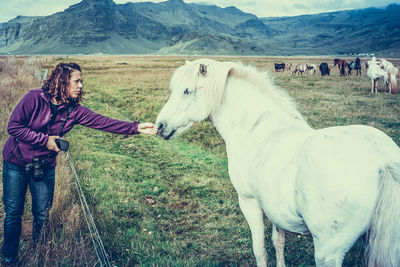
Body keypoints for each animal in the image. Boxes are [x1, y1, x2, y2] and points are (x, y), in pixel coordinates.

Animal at [156, 59, 400, 267]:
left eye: (187, 91)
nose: (160, 126)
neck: (256, 129)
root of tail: (381, 161)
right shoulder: (274, 209)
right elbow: (278, 242)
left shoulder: (250, 202)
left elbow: (260, 249)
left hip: (328, 251)